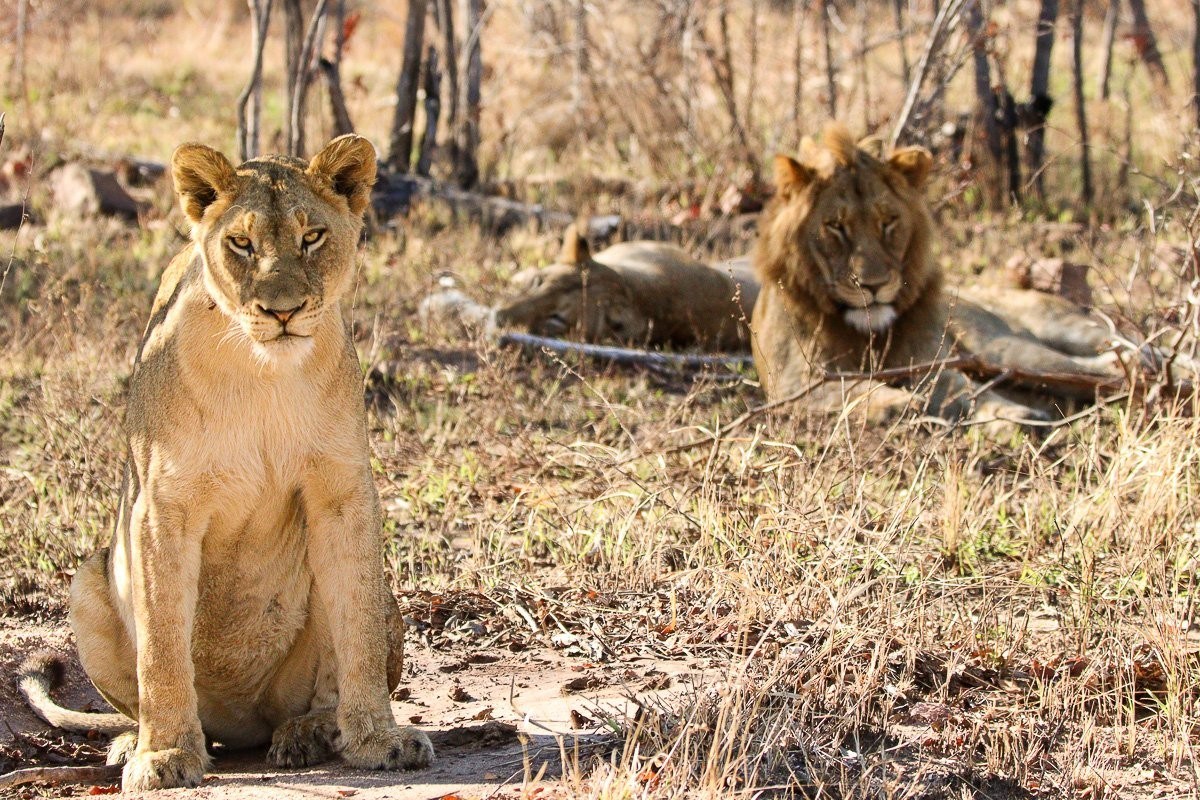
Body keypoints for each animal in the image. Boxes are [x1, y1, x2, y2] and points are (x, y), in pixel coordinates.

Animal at [18, 135, 434, 791]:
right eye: (241, 243)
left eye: (312, 236)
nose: (283, 311)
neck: (262, 369)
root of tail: (242, 728)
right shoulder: (160, 508)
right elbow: (162, 645)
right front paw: (164, 755)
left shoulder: (341, 494)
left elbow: (359, 628)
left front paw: (376, 738)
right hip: (88, 583)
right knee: (138, 695)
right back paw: (132, 743)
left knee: (327, 675)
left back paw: (312, 733)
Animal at [751, 126, 1130, 426]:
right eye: (835, 227)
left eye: (888, 221)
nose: (874, 285)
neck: (866, 331)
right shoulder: (793, 380)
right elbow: (851, 386)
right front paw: (895, 402)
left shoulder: (928, 362)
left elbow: (961, 389)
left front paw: (1015, 416)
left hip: (1001, 347)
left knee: (1089, 369)